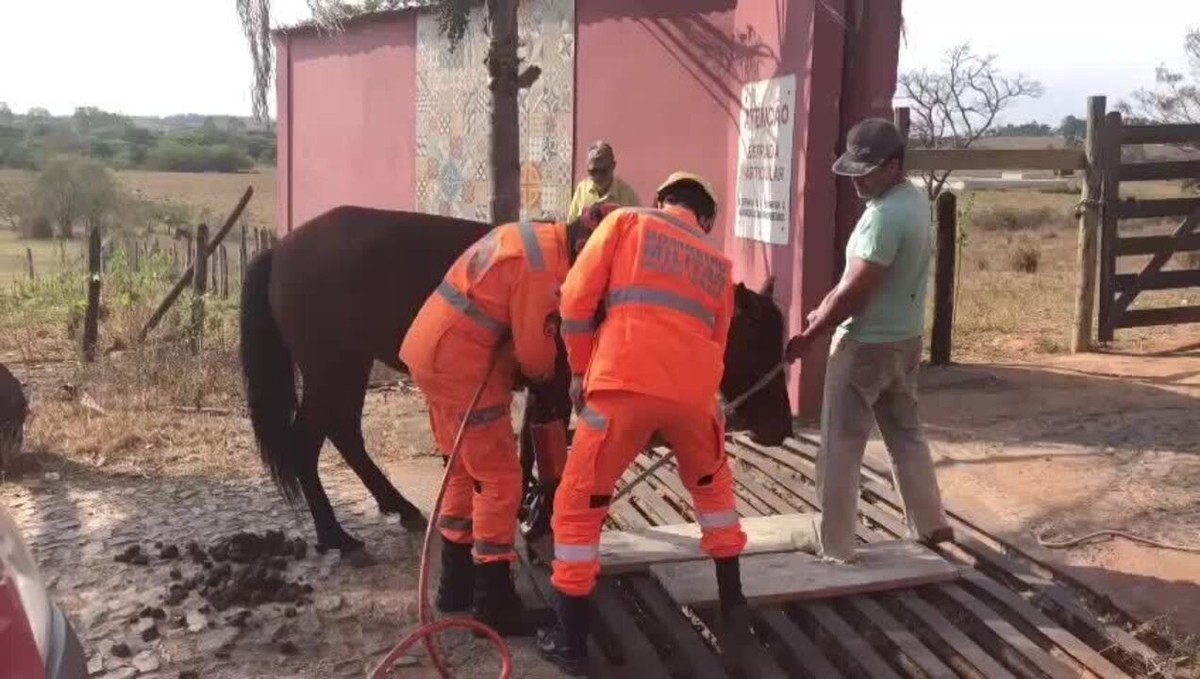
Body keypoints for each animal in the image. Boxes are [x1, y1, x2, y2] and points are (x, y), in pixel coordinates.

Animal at [238, 205, 792, 556]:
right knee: (309, 441)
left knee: (344, 434)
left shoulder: (542, 384)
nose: (782, 428)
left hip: (344, 368)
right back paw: (334, 534)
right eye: (756, 341)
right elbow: (548, 455)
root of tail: (280, 250)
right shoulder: (556, 384)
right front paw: (541, 517)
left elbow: (531, 448)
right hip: (333, 367)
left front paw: (529, 509)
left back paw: (395, 507)